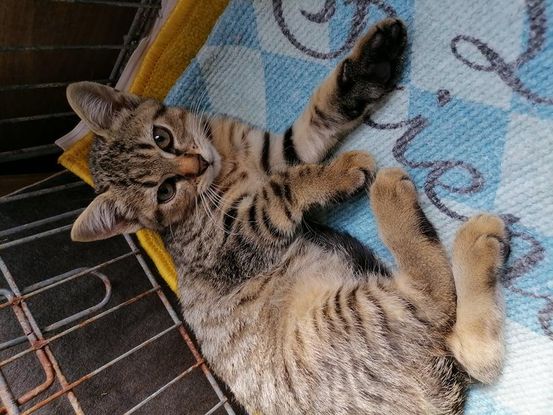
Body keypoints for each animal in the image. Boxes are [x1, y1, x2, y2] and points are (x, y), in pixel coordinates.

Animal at [66, 19, 506, 415]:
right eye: (165, 192)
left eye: (161, 136)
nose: (196, 165)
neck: (226, 164)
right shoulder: (231, 241)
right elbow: (280, 191)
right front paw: (338, 173)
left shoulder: (280, 151)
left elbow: (324, 113)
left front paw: (372, 63)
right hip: (344, 321)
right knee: (432, 302)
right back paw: (405, 206)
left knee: (475, 355)